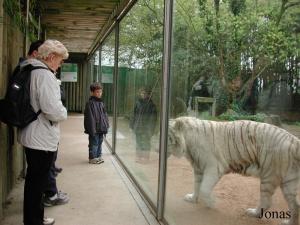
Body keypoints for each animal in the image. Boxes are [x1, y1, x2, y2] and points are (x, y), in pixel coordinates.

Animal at [168, 117, 300, 224]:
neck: (187, 145)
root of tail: (294, 140)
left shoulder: (213, 167)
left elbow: (204, 189)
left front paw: (212, 203)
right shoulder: (199, 168)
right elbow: (197, 185)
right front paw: (192, 199)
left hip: (269, 176)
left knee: (267, 201)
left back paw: (253, 213)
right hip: (289, 181)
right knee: (295, 205)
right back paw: (288, 222)